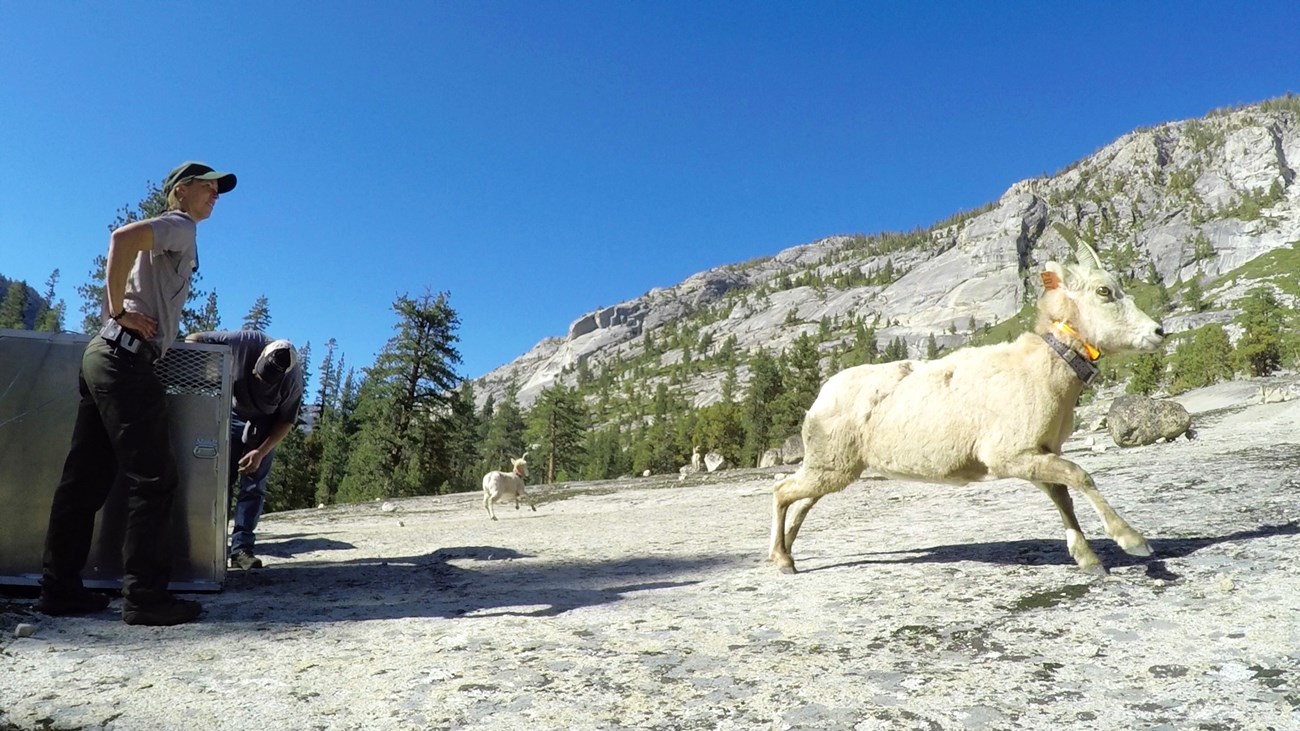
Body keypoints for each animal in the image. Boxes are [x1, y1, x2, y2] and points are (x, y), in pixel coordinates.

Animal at [769, 244, 1170, 574]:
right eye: (1104, 291)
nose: (1158, 332)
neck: (1040, 369)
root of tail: (821, 397)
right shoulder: (1008, 455)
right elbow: (1079, 475)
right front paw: (1134, 542)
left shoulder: (1037, 453)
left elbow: (1063, 495)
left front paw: (1088, 559)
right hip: (831, 465)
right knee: (782, 491)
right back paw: (782, 560)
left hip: (834, 467)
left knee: (801, 500)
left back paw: (787, 554)